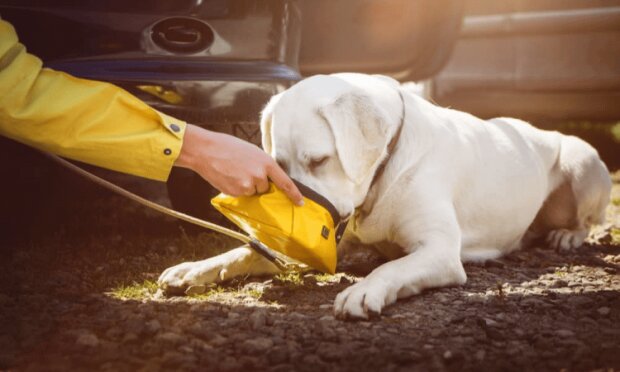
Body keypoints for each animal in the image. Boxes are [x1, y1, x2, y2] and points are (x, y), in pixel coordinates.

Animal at [159, 73, 612, 320]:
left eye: (320, 160)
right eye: (279, 165)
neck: (383, 173)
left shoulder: (438, 252)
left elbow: (392, 268)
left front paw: (364, 291)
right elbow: (243, 253)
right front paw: (195, 269)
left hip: (581, 160)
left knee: (586, 219)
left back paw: (566, 236)